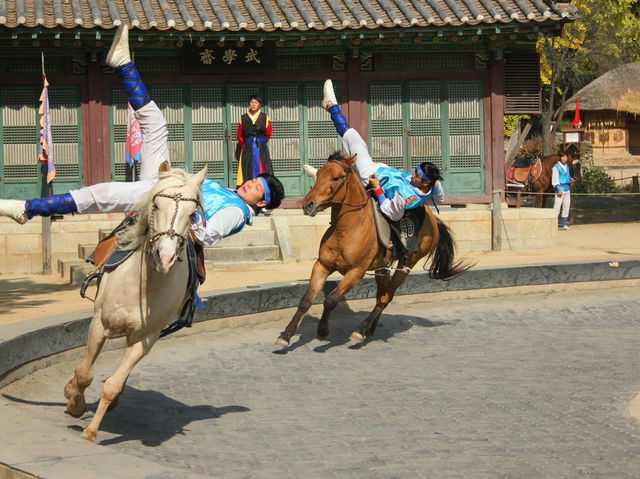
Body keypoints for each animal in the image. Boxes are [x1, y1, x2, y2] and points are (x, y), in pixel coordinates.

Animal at [63, 162, 206, 442]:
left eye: (192, 213)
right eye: (156, 205)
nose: (165, 256)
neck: (142, 286)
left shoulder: (146, 338)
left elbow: (113, 384)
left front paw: (92, 430)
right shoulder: (100, 323)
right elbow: (84, 373)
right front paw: (74, 401)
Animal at [276, 155, 470, 348]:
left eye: (336, 178)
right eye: (319, 175)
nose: (308, 204)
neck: (347, 229)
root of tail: (434, 221)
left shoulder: (356, 272)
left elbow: (331, 300)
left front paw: (322, 331)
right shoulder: (322, 265)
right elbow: (306, 300)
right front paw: (286, 335)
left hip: (407, 265)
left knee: (386, 297)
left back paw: (361, 331)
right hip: (382, 268)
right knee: (381, 295)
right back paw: (369, 329)